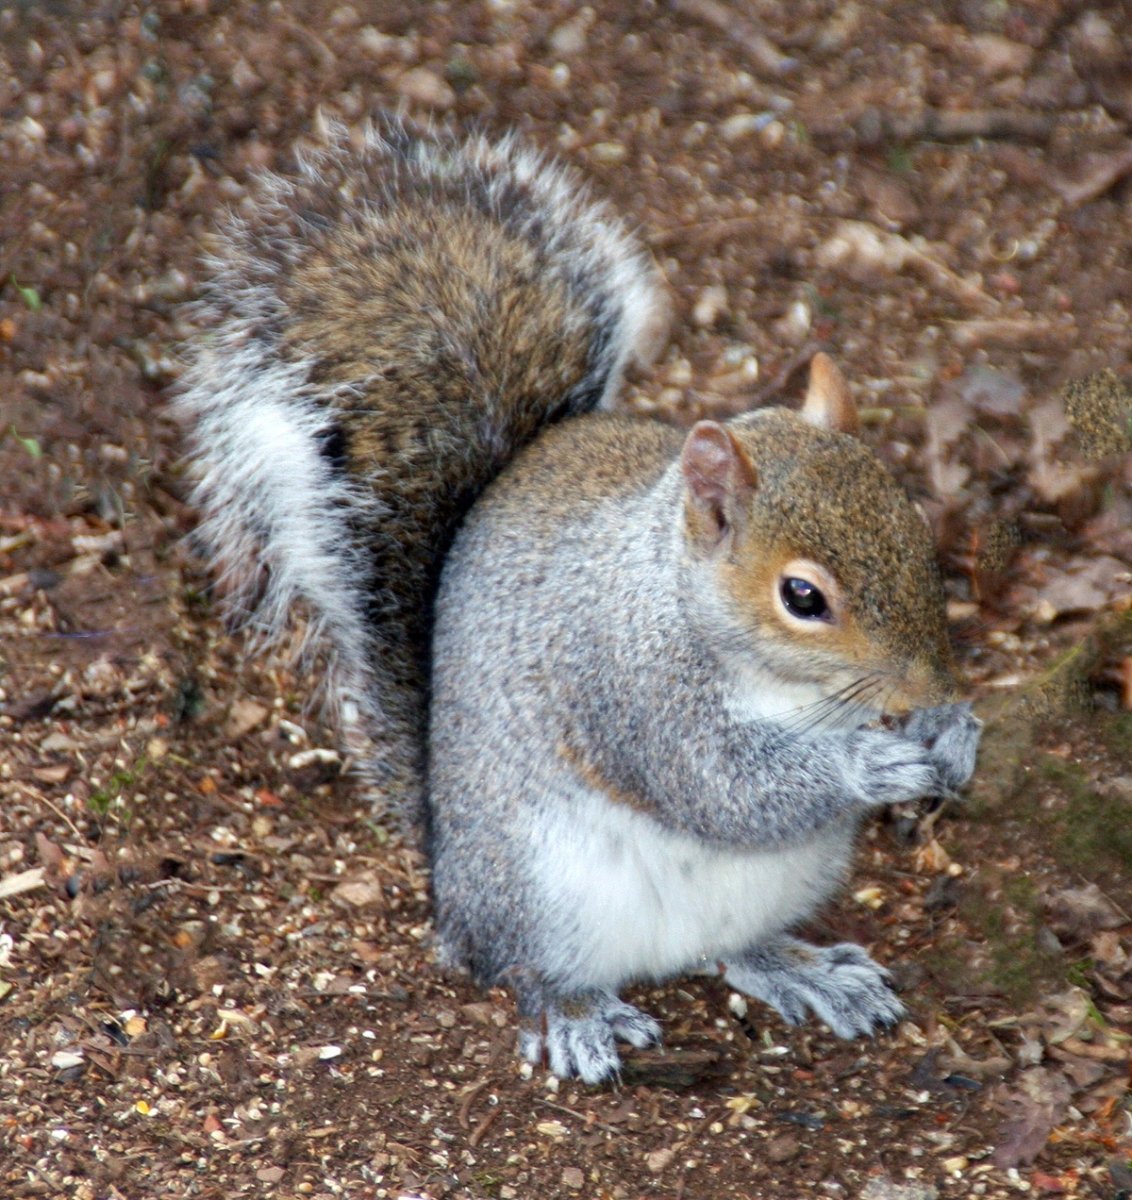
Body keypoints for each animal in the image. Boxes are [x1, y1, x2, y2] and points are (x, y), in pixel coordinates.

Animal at [178, 121, 984, 1089]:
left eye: (918, 529)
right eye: (803, 597)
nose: (933, 689)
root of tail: (450, 884)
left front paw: (955, 736)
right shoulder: (628, 684)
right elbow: (720, 786)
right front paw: (868, 765)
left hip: (782, 882)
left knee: (734, 951)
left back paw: (804, 969)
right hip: (540, 893)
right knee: (524, 969)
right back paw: (575, 1014)